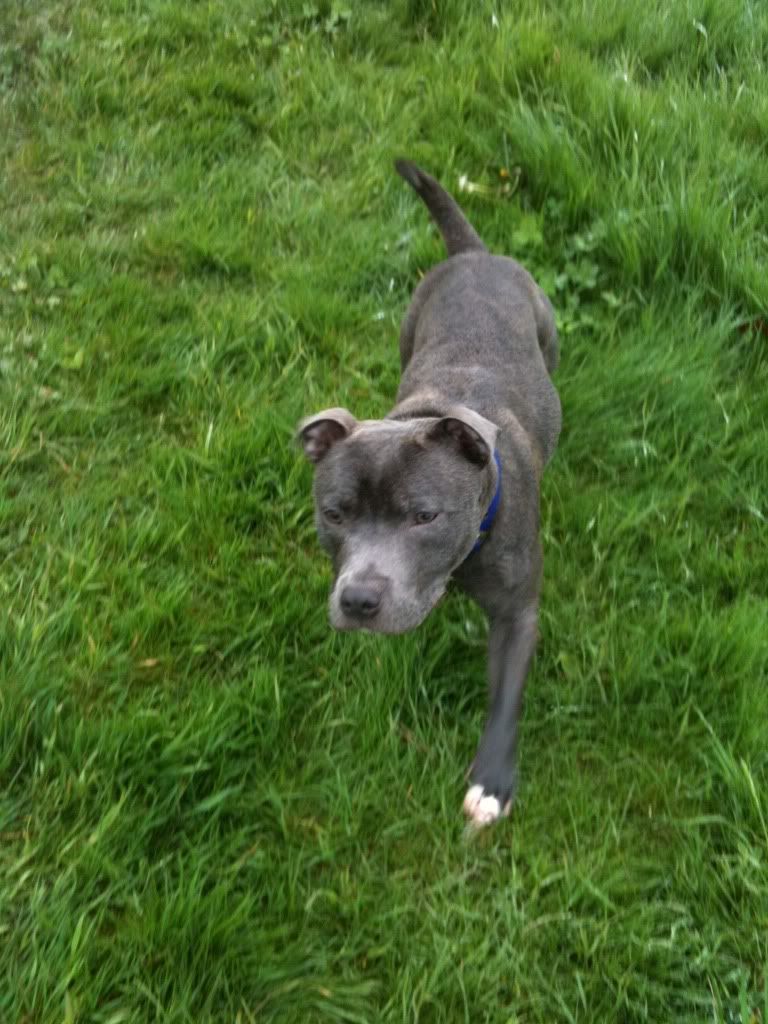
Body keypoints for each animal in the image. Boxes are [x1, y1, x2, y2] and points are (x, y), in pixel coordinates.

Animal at [296, 159, 561, 827]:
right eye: (334, 514)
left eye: (423, 516)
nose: (359, 600)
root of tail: (474, 253)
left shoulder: (518, 614)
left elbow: (506, 695)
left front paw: (492, 781)